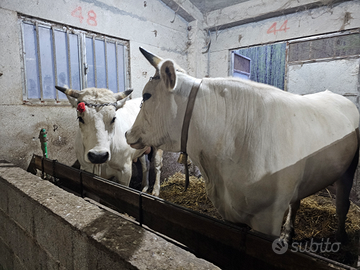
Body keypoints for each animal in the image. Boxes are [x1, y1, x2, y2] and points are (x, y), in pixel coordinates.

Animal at [126, 47, 358, 242]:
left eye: (147, 95)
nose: (128, 133)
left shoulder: (269, 215)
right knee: (296, 202)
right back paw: (288, 232)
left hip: (350, 167)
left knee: (342, 204)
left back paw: (340, 236)